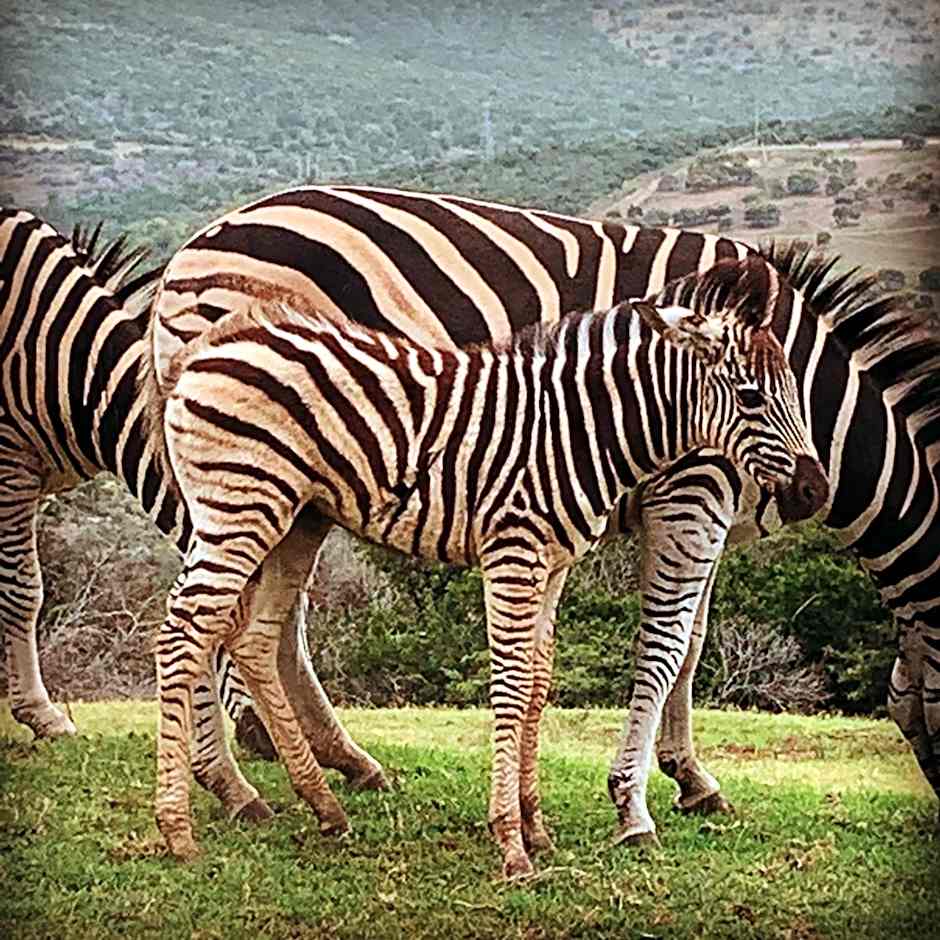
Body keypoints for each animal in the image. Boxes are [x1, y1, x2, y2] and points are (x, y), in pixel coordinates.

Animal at [151, 185, 938, 837]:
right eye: (750, 396)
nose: (810, 492)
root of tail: (193, 247)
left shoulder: (718, 508)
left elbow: (692, 643)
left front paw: (691, 779)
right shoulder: (691, 488)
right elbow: (664, 646)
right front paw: (634, 801)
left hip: (294, 495)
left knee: (259, 624)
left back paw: (329, 768)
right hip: (253, 477)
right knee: (213, 619)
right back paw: (232, 786)